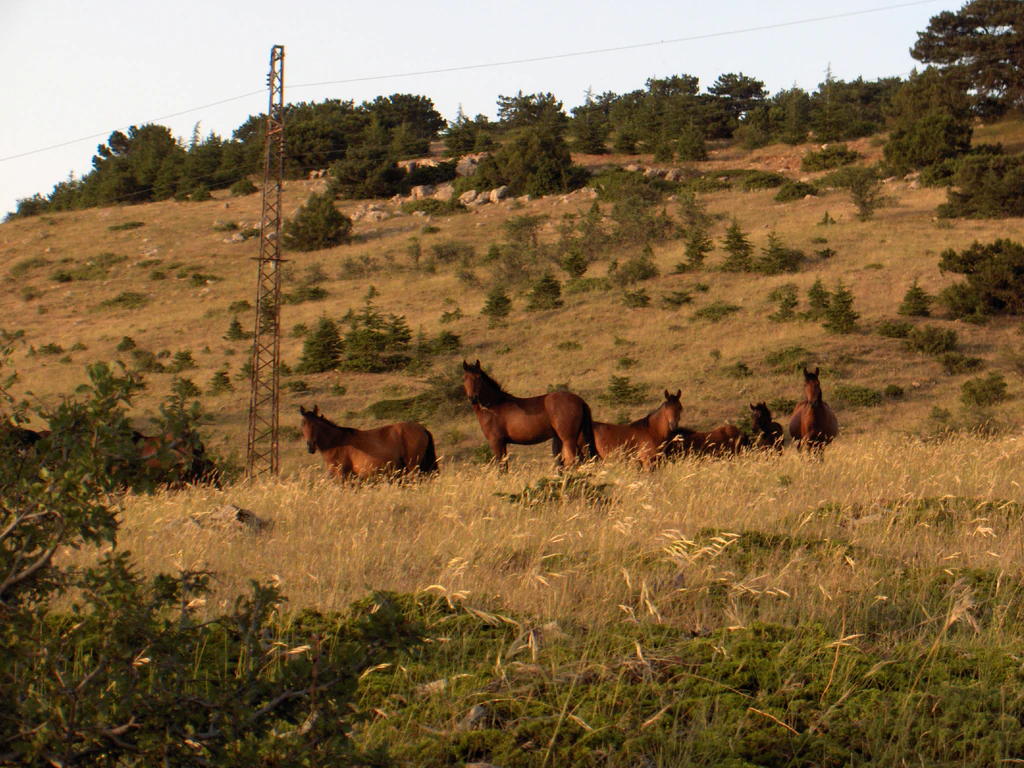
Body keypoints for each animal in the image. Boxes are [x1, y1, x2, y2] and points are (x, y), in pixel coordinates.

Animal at [299, 405, 438, 480]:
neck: (337, 443)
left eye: (316, 424)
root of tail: (423, 429)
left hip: (413, 468)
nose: (310, 446)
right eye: (302, 424)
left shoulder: (343, 476)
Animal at [462, 360, 598, 470]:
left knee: (571, 462)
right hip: (579, 437)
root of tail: (579, 401)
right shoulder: (503, 443)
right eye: (464, 378)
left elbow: (501, 468)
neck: (494, 406)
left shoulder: (496, 442)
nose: (473, 398)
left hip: (568, 438)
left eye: (479, 378)